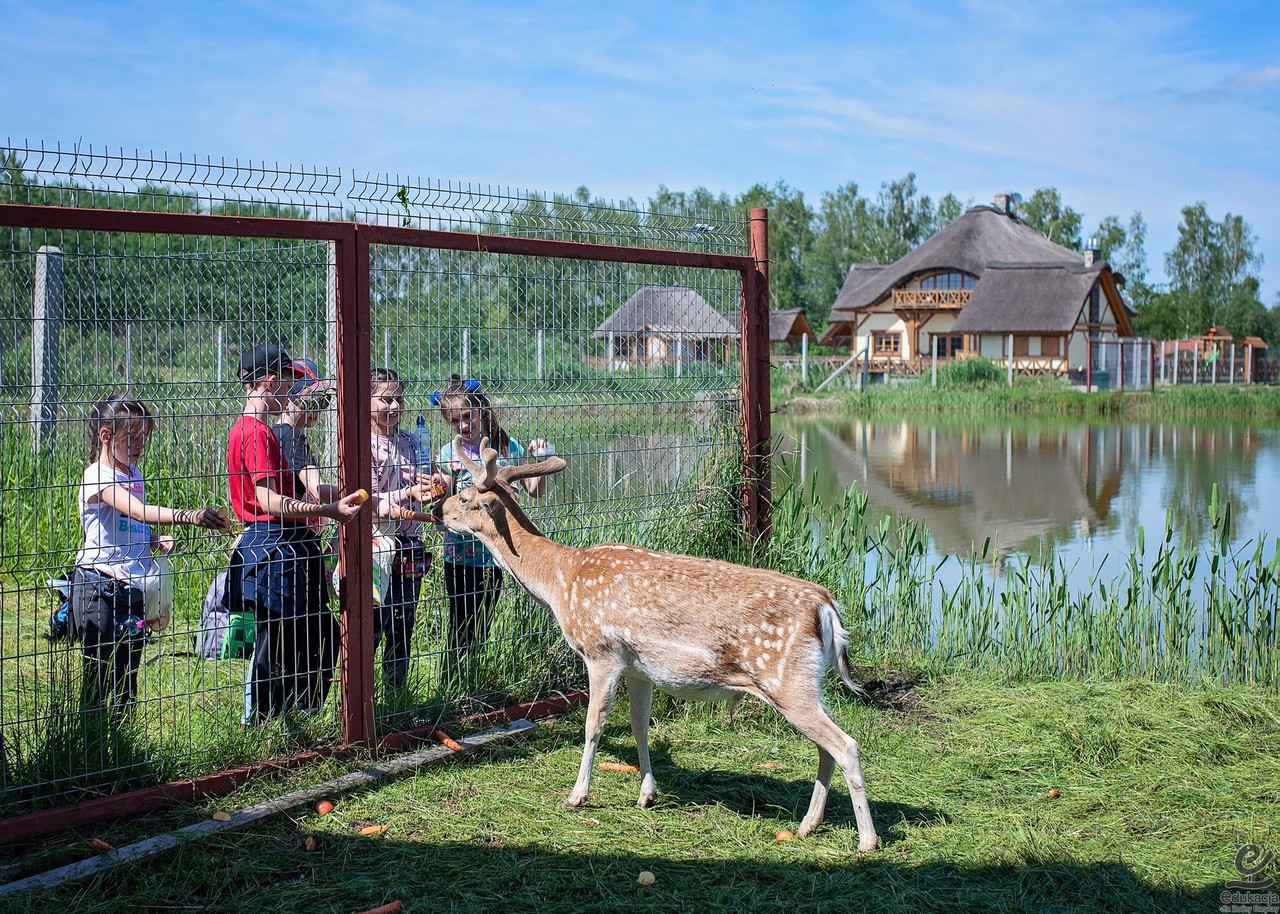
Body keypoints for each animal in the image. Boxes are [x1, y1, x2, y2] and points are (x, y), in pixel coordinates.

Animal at [439, 437, 879, 853]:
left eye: (464, 496)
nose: (439, 510)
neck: (561, 583)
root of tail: (826, 608)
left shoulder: (601, 652)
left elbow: (593, 725)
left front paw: (576, 796)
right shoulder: (639, 669)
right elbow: (640, 725)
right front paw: (646, 795)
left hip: (787, 682)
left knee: (846, 745)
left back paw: (866, 840)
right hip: (808, 683)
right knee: (826, 749)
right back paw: (808, 825)